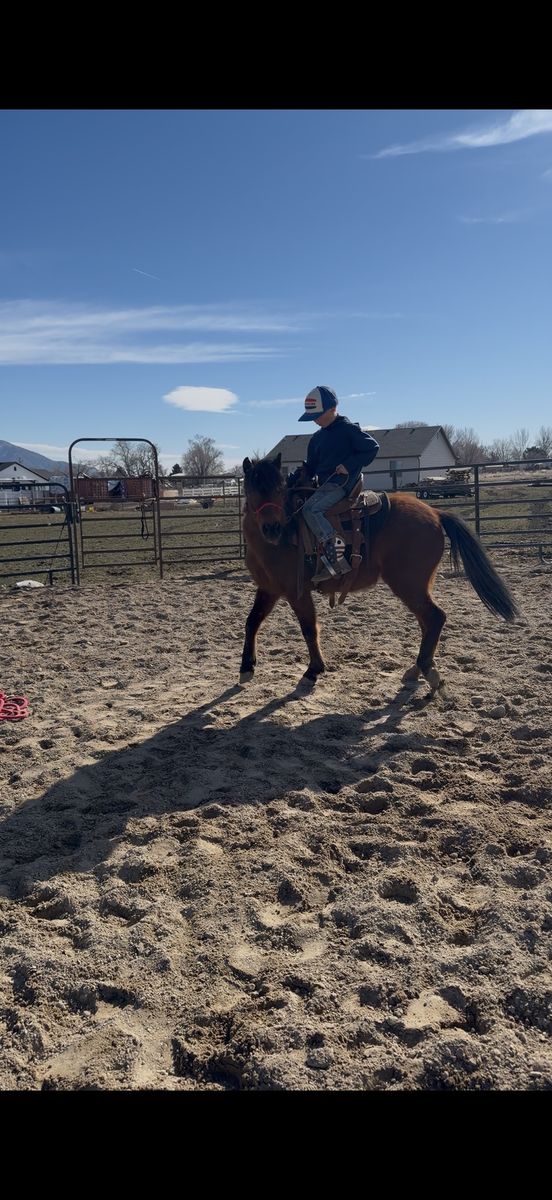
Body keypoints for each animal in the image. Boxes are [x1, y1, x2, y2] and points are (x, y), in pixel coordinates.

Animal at [238, 453, 518, 691]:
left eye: (279, 488)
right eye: (251, 490)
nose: (272, 528)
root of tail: (435, 512)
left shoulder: (296, 592)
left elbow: (308, 628)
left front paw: (313, 671)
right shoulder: (269, 589)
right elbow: (252, 621)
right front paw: (246, 667)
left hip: (408, 584)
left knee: (435, 618)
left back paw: (428, 672)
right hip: (418, 586)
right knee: (427, 621)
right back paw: (417, 669)